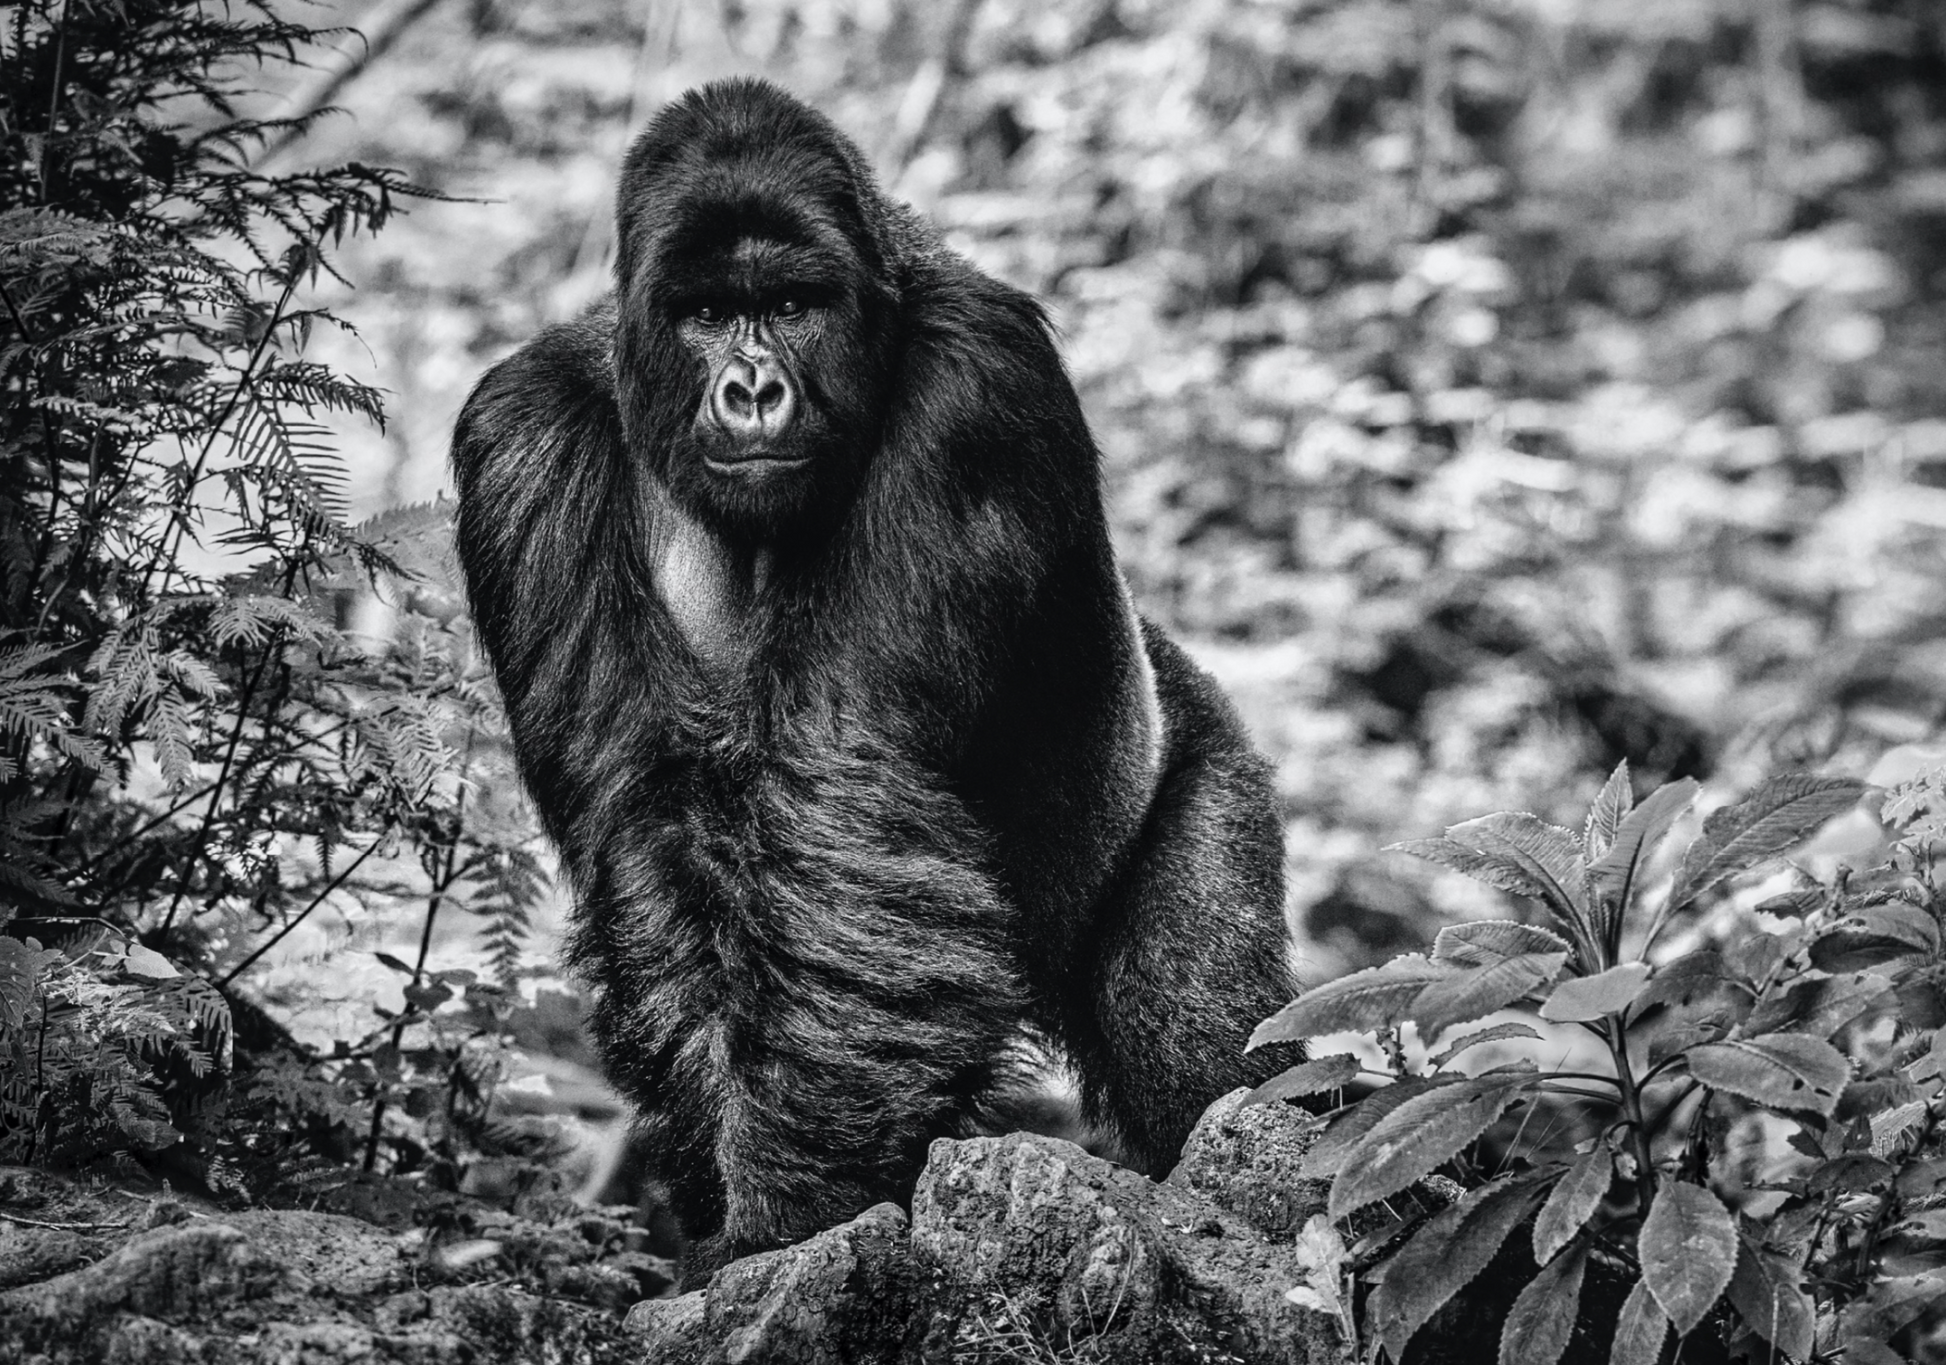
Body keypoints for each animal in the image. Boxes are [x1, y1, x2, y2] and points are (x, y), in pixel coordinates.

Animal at [453, 74, 1299, 1269]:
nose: (752, 389)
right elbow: (644, 820)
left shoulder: (977, 377)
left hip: (1196, 749)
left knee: (1206, 1039)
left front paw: (794, 1212)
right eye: (704, 314)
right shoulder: (519, 440)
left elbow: (844, 788)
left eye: (795, 303)